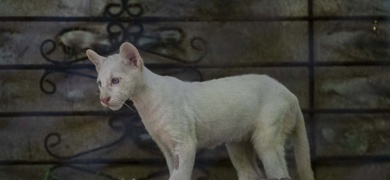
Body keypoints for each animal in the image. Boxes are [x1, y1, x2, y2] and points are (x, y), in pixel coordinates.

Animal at [85, 42, 314, 180]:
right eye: (99, 84)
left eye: (116, 81)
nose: (103, 99)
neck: (145, 105)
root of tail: (290, 93)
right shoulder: (167, 148)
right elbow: (174, 173)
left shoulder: (184, 144)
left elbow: (180, 176)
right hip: (237, 145)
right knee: (253, 174)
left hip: (267, 141)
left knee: (281, 175)